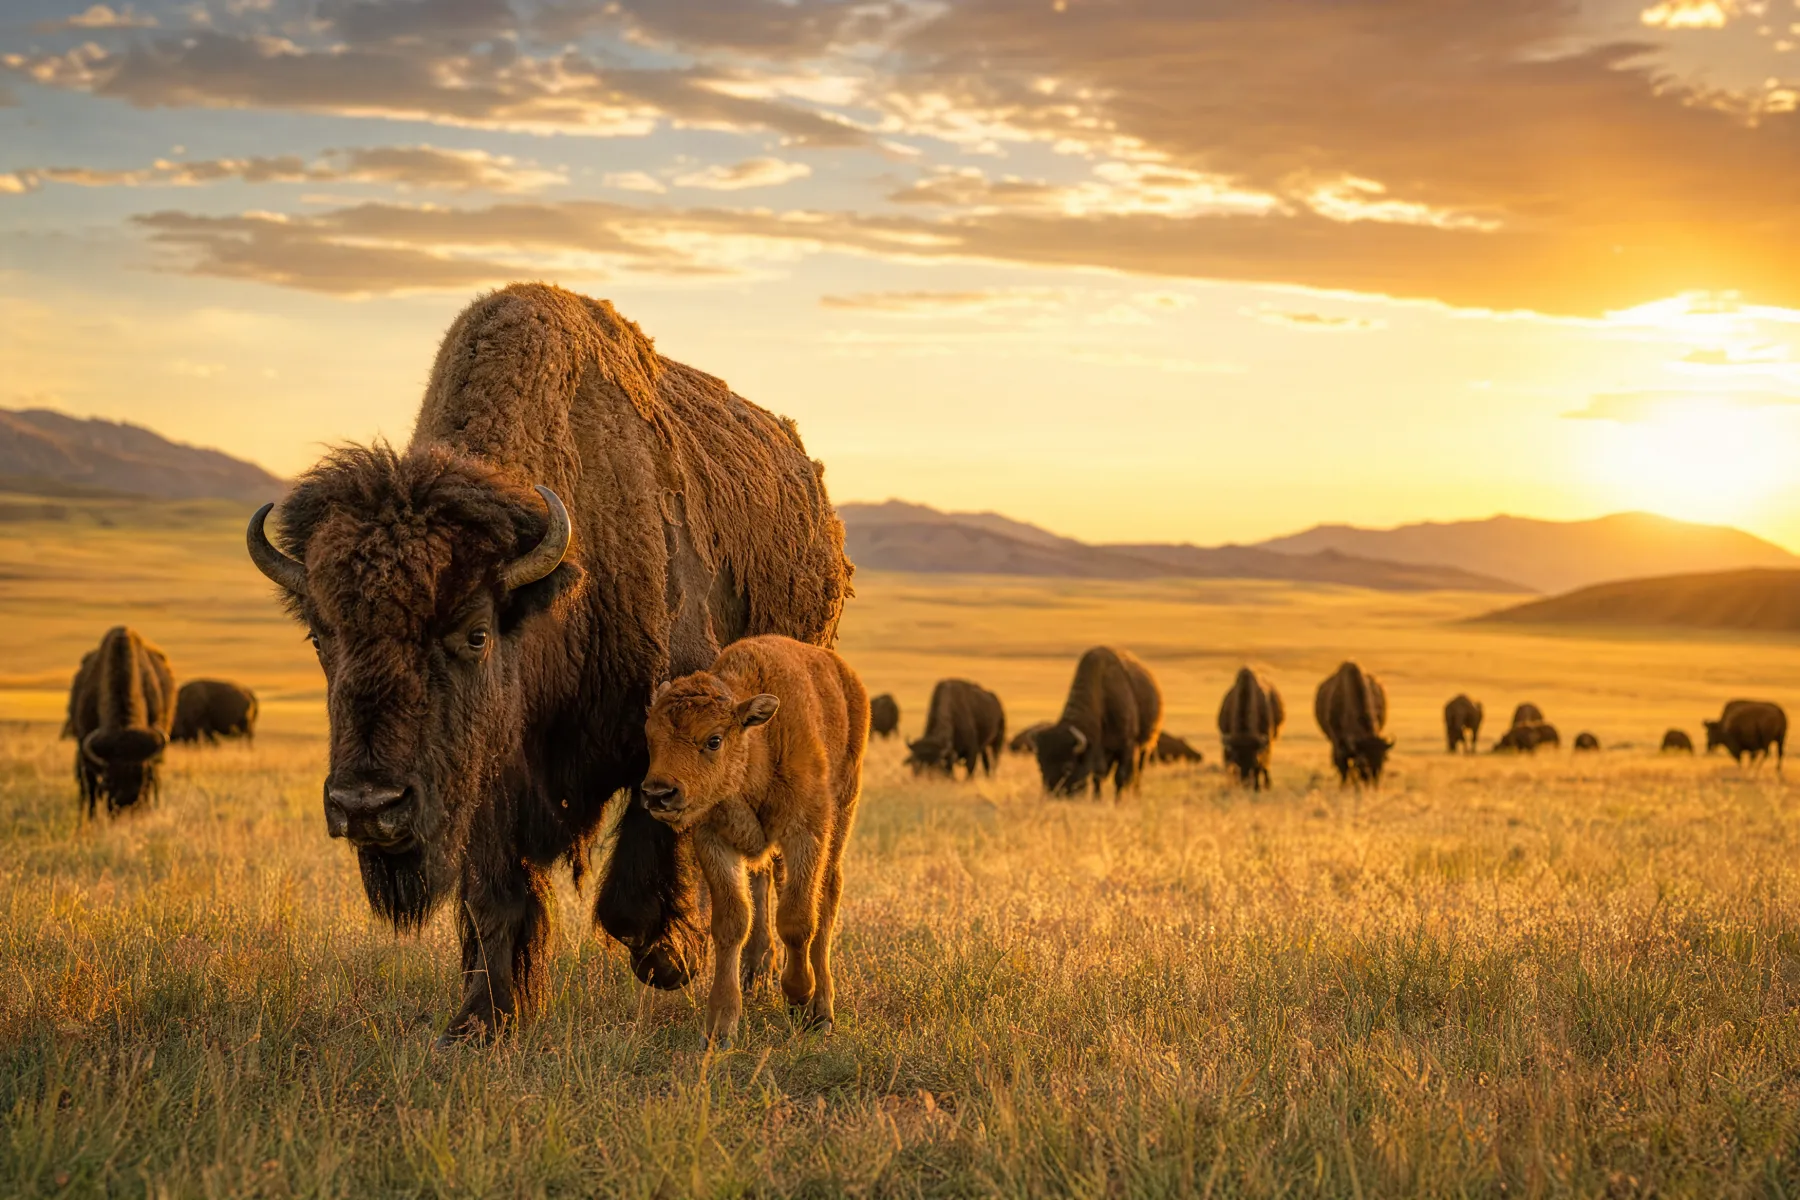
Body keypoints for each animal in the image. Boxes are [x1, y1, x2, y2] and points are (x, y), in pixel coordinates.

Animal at [640, 636, 866, 1047]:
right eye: (650, 737)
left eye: (713, 740)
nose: (658, 793)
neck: (757, 745)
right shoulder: (714, 840)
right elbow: (732, 922)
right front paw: (720, 1026)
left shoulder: (806, 834)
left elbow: (797, 919)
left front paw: (799, 993)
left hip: (842, 814)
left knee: (827, 899)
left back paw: (822, 1011)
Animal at [1034, 647, 1162, 798]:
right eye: (1040, 765)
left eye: (1068, 767)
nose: (1054, 795)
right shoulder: (1099, 749)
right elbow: (1098, 774)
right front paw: (1097, 798)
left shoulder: (1127, 744)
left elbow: (1120, 776)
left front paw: (1117, 800)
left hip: (1145, 745)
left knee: (1138, 770)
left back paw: (1136, 793)